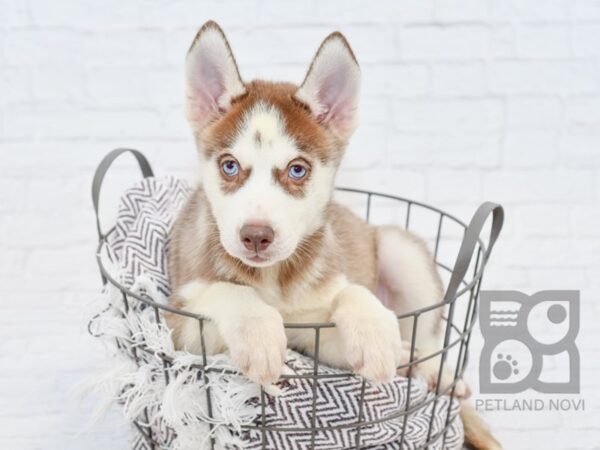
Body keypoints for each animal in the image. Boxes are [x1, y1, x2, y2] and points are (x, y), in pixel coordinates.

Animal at [166, 22, 500, 450]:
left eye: (297, 170)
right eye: (229, 166)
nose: (255, 236)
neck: (276, 280)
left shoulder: (322, 304)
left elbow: (352, 291)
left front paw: (375, 335)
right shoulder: (178, 326)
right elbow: (228, 291)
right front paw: (258, 333)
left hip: (400, 252)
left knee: (427, 337)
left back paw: (432, 371)